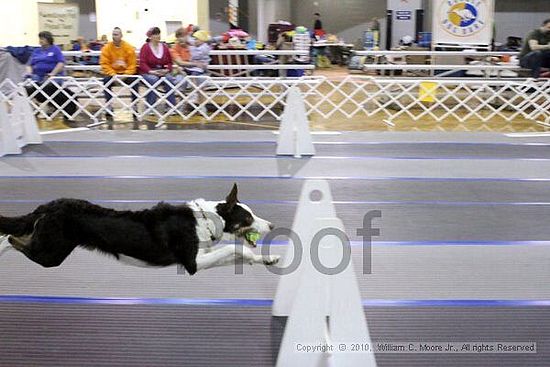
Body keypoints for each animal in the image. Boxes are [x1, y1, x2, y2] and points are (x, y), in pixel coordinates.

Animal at [0, 185, 280, 274]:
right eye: (248, 217)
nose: (272, 225)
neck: (206, 219)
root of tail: (50, 204)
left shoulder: (203, 258)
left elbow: (240, 253)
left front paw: (268, 259)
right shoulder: (191, 263)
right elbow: (234, 248)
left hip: (52, 244)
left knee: (19, 236)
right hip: (52, 253)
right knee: (14, 239)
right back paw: (6, 243)